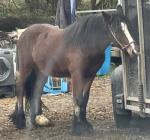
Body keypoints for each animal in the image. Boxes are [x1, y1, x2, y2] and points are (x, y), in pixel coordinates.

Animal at [11, 5, 138, 135]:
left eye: (128, 26)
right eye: (117, 30)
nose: (134, 51)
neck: (85, 44)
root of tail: (23, 34)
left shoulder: (90, 76)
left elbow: (84, 99)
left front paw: (85, 123)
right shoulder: (77, 75)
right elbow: (77, 99)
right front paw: (77, 127)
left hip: (41, 73)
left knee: (35, 92)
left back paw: (36, 120)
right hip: (25, 69)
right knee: (20, 90)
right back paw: (20, 121)